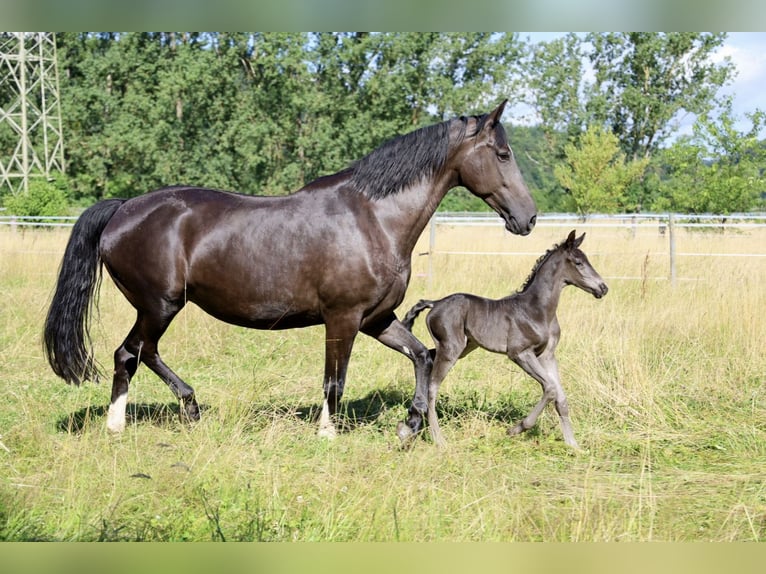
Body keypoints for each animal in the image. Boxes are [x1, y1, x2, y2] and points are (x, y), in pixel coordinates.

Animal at [402, 230, 612, 450]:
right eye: (579, 262)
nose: (603, 288)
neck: (538, 310)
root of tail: (435, 303)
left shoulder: (547, 355)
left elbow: (561, 398)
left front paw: (574, 445)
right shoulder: (520, 353)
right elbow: (550, 388)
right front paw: (516, 429)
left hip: (463, 347)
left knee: (427, 356)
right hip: (452, 348)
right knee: (433, 386)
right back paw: (438, 438)